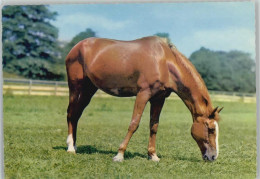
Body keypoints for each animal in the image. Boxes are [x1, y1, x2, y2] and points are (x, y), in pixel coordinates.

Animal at [65, 35, 223, 162]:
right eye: (210, 129)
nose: (213, 156)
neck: (164, 62)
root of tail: (76, 47)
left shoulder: (159, 98)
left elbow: (154, 126)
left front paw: (152, 155)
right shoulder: (143, 94)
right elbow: (134, 124)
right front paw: (119, 155)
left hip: (89, 89)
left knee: (77, 114)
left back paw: (75, 145)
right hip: (76, 87)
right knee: (71, 113)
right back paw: (70, 147)